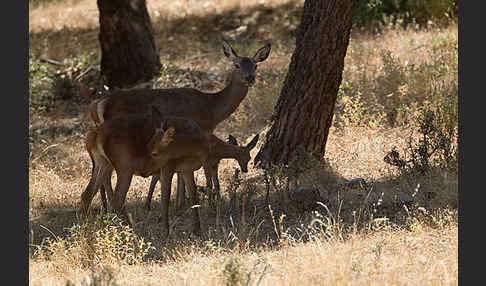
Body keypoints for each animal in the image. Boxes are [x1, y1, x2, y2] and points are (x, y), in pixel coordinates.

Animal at [80, 105, 212, 237]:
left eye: (154, 152)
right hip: (124, 165)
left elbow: (193, 194)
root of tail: (96, 135)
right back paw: (131, 230)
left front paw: (197, 230)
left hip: (102, 163)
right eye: (148, 148)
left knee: (87, 194)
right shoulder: (167, 167)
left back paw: (87, 229)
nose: (144, 171)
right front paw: (165, 231)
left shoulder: (187, 169)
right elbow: (166, 196)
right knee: (117, 199)